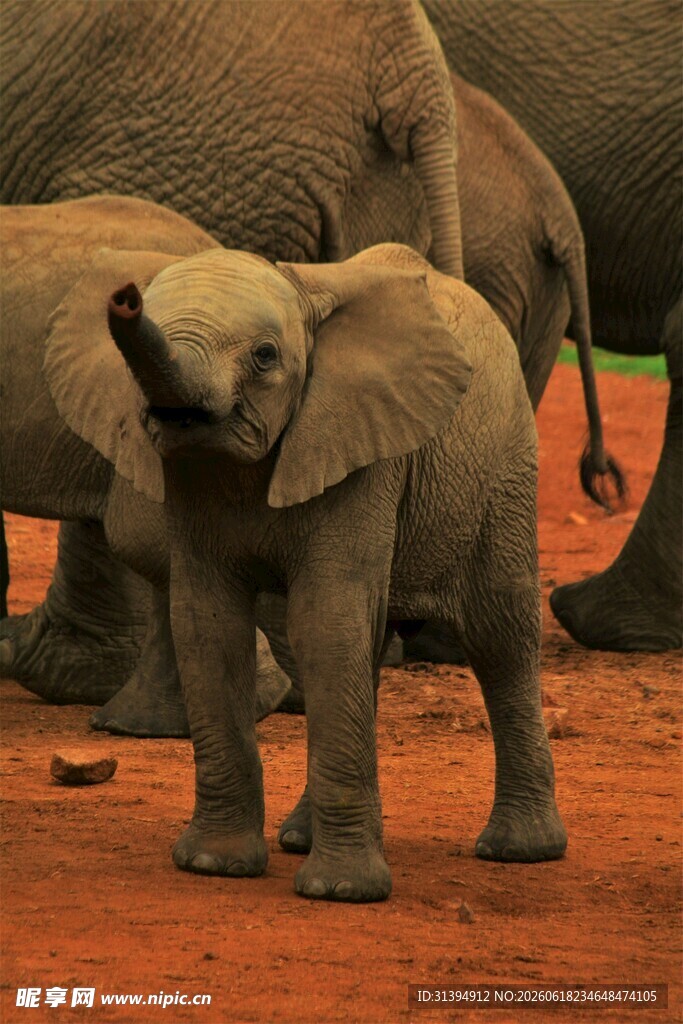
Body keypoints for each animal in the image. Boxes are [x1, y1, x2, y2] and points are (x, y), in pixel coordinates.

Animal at [82, 240, 566, 901]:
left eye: (265, 356)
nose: (124, 298)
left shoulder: (366, 453)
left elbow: (324, 622)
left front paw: (341, 893)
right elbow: (209, 626)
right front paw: (213, 866)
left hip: (505, 463)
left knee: (500, 634)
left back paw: (520, 851)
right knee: (371, 646)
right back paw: (299, 839)